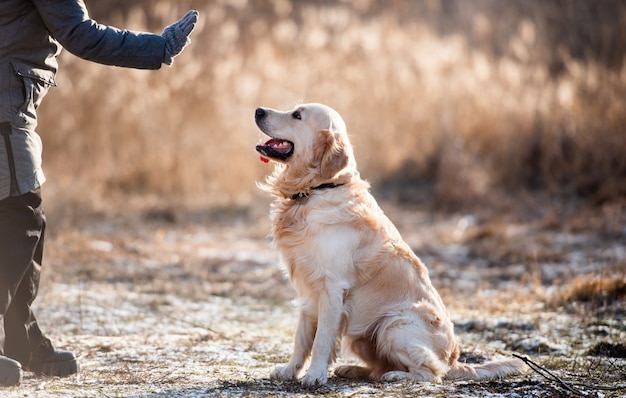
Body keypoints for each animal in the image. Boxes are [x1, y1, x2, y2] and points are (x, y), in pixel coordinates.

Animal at [252, 102, 520, 386]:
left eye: (297, 115)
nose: (258, 110)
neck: (318, 188)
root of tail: (454, 360)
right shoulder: (307, 289)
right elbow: (301, 339)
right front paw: (289, 370)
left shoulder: (331, 287)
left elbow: (321, 340)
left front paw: (314, 375)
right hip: (362, 337)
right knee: (379, 368)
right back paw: (353, 369)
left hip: (393, 325)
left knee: (432, 373)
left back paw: (395, 375)